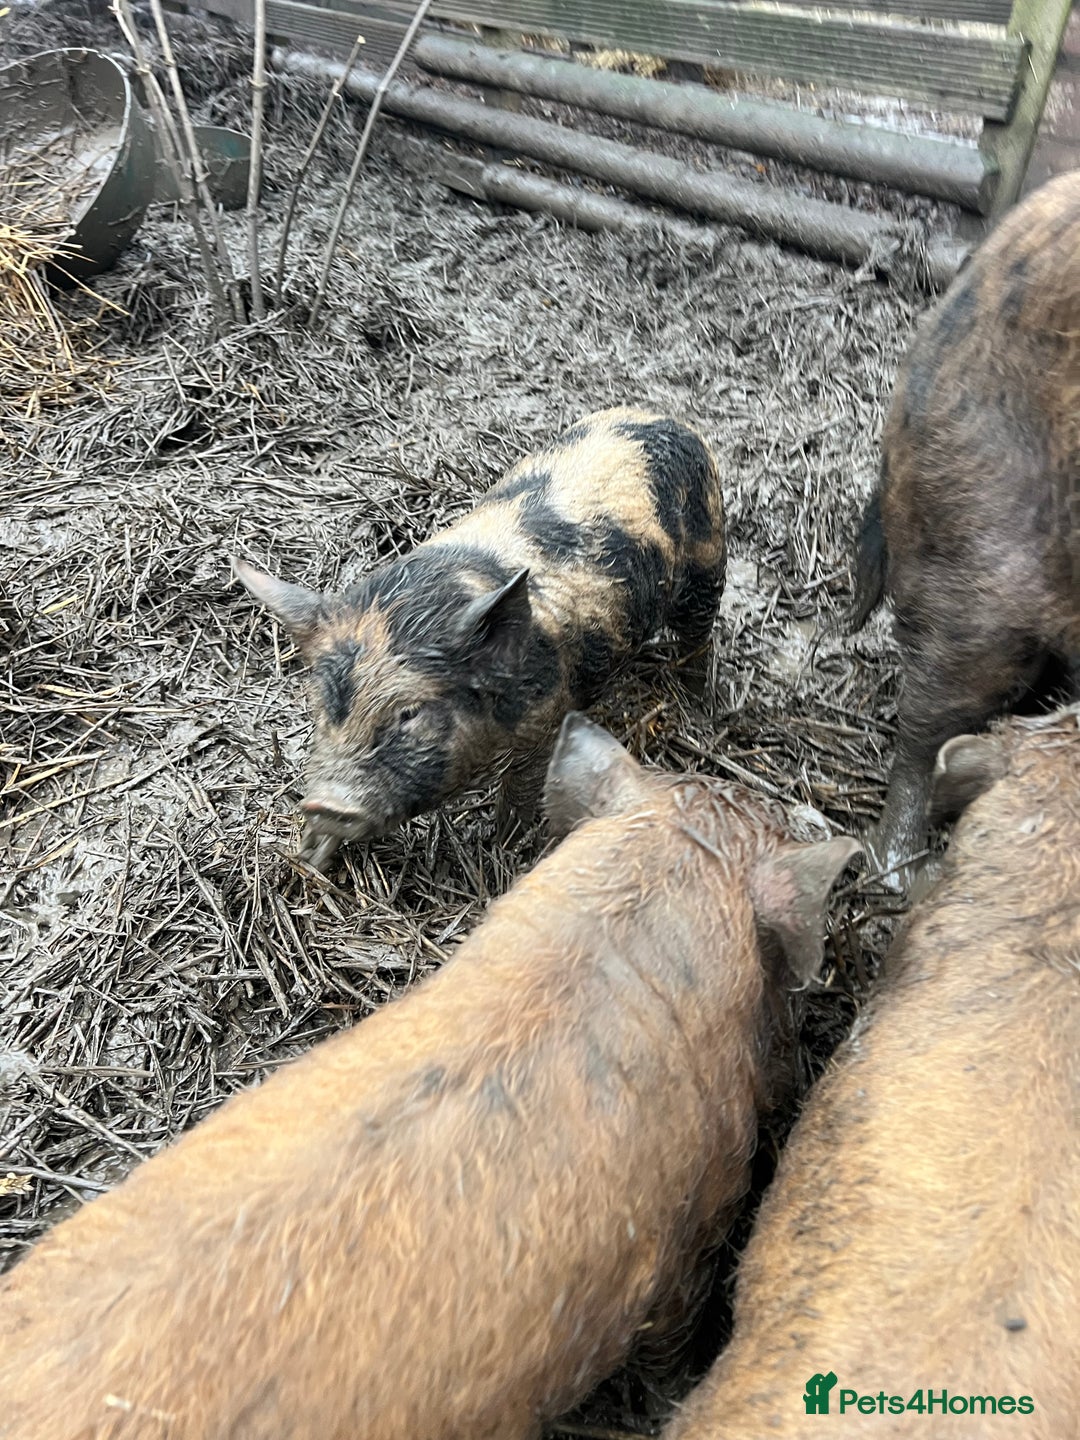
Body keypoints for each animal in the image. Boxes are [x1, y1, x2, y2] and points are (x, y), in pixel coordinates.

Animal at [233, 406, 726, 864]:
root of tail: (666, 418)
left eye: (409, 713)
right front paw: (308, 855)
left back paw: (696, 701)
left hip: (708, 560)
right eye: (322, 707)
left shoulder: (549, 716)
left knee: (701, 635)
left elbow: (522, 786)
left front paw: (503, 843)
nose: (323, 803)